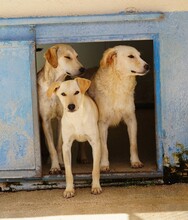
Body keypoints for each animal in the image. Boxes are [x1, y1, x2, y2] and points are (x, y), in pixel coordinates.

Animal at [37, 43, 84, 174]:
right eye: (67, 57)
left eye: (77, 56)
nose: (83, 69)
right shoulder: (46, 121)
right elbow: (52, 147)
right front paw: (54, 167)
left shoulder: (61, 119)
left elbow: (58, 146)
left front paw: (61, 163)